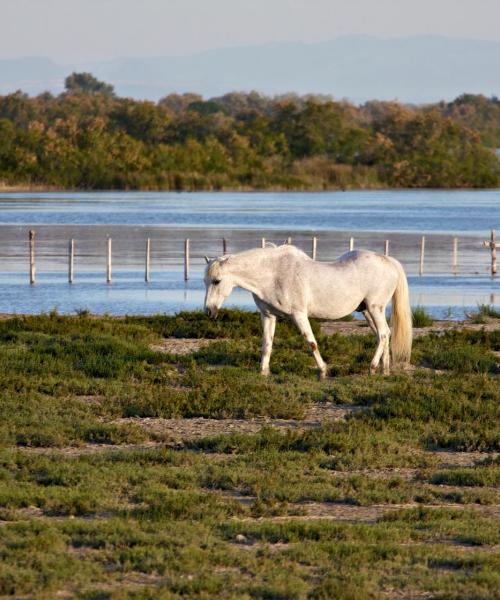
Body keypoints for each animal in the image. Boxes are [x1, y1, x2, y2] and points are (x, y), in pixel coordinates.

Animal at [203, 245, 410, 378]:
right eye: (205, 281)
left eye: (217, 281)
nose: (209, 312)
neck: (274, 274)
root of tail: (389, 261)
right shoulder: (268, 316)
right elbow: (266, 344)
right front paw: (263, 372)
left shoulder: (299, 314)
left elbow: (311, 342)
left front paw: (323, 370)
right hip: (367, 311)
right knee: (383, 335)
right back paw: (384, 370)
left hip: (375, 308)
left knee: (383, 334)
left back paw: (372, 368)